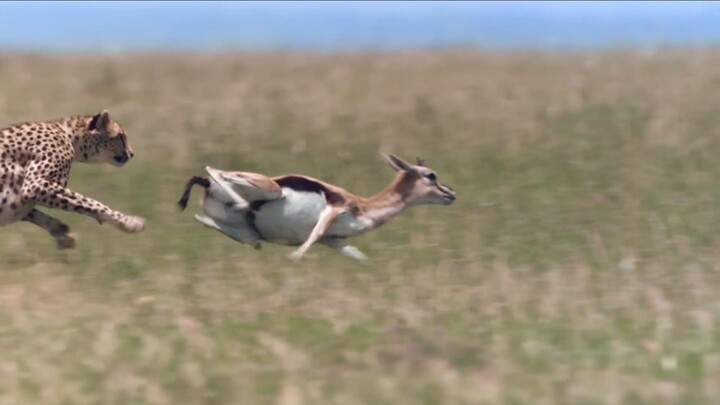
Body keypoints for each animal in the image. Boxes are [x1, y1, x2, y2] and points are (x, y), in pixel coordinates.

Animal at [0, 109, 145, 249]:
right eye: (120, 136)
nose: (131, 154)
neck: (68, 134)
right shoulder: (34, 185)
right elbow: (90, 203)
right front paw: (128, 222)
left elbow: (34, 213)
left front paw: (62, 232)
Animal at [177, 154, 456, 261]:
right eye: (431, 175)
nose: (451, 193)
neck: (362, 208)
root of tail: (206, 186)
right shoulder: (332, 212)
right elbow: (303, 249)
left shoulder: (334, 240)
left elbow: (359, 256)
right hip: (269, 188)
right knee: (215, 170)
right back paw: (243, 201)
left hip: (245, 233)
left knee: (208, 221)